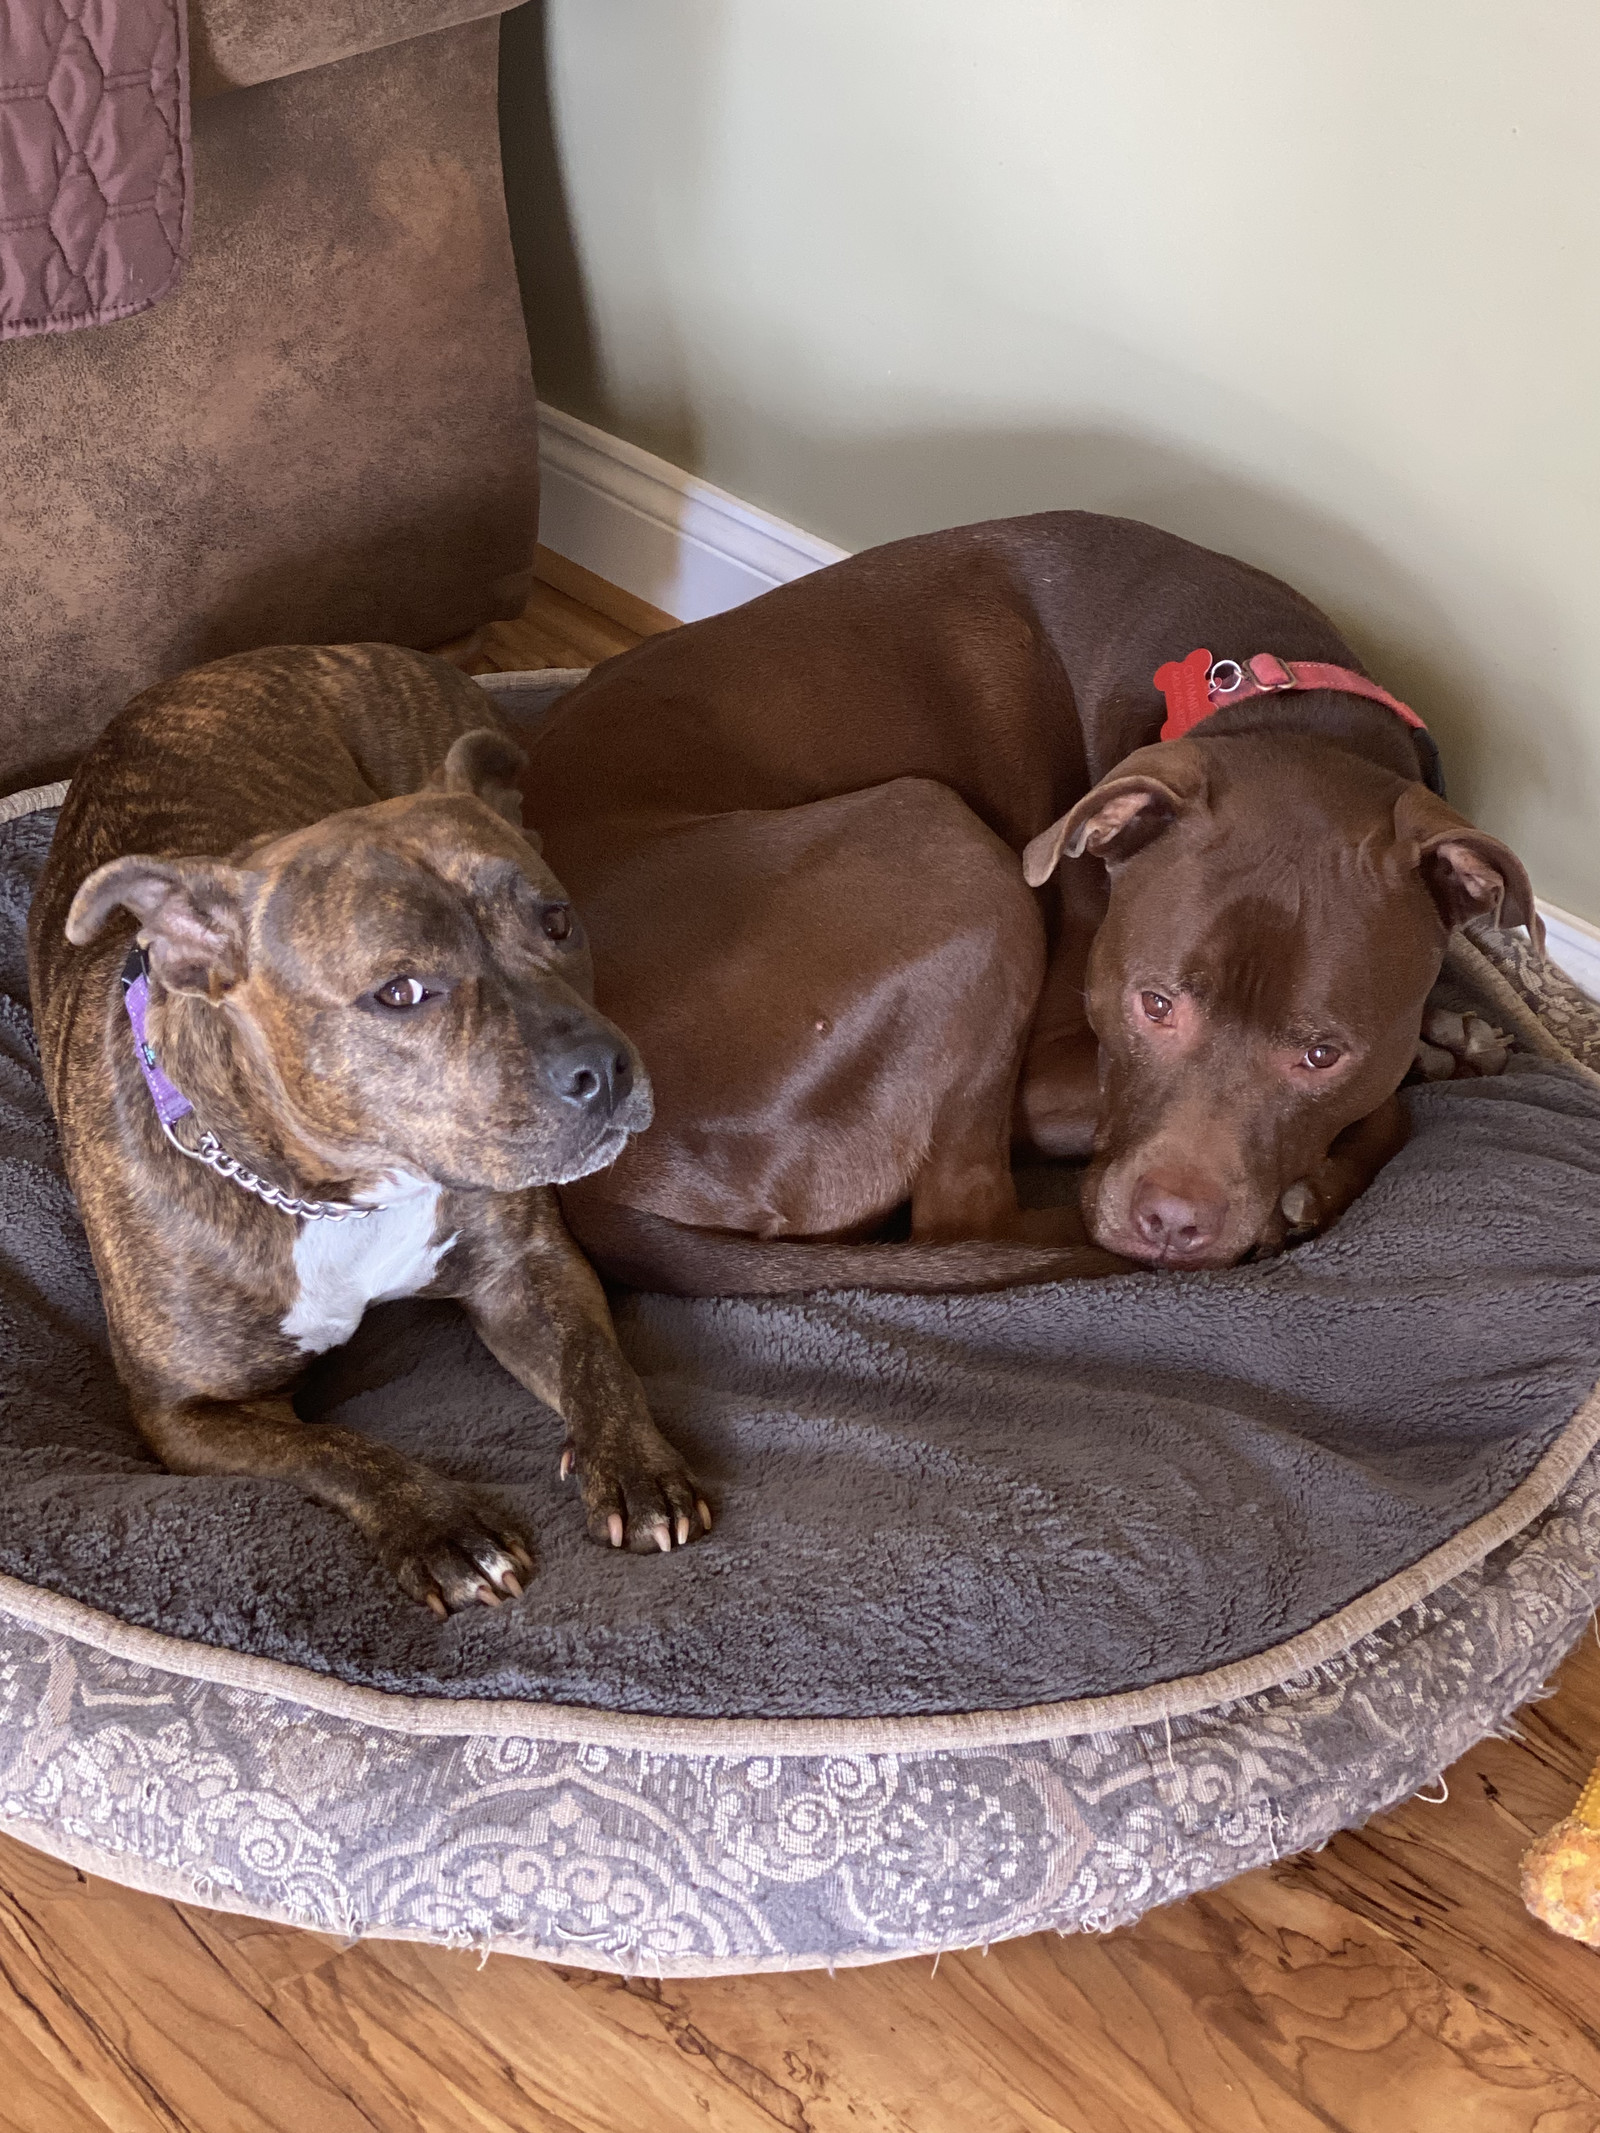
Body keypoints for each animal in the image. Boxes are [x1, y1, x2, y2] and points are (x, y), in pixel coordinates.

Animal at [26, 639, 708, 1604]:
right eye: (400, 992)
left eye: (558, 920)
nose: (604, 1069)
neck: (338, 1194)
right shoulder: (187, 1412)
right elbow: (330, 1449)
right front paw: (441, 1523)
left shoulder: (530, 1270)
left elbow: (597, 1363)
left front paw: (637, 1466)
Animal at [516, 507, 1544, 1288]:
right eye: (1152, 1004)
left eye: (1323, 1053)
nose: (1171, 1223)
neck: (1277, 699)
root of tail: (590, 1179)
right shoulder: (1046, 1083)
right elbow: (1388, 1111)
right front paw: (1334, 1166)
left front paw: (1451, 1035)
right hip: (954, 855)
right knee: (968, 1220)